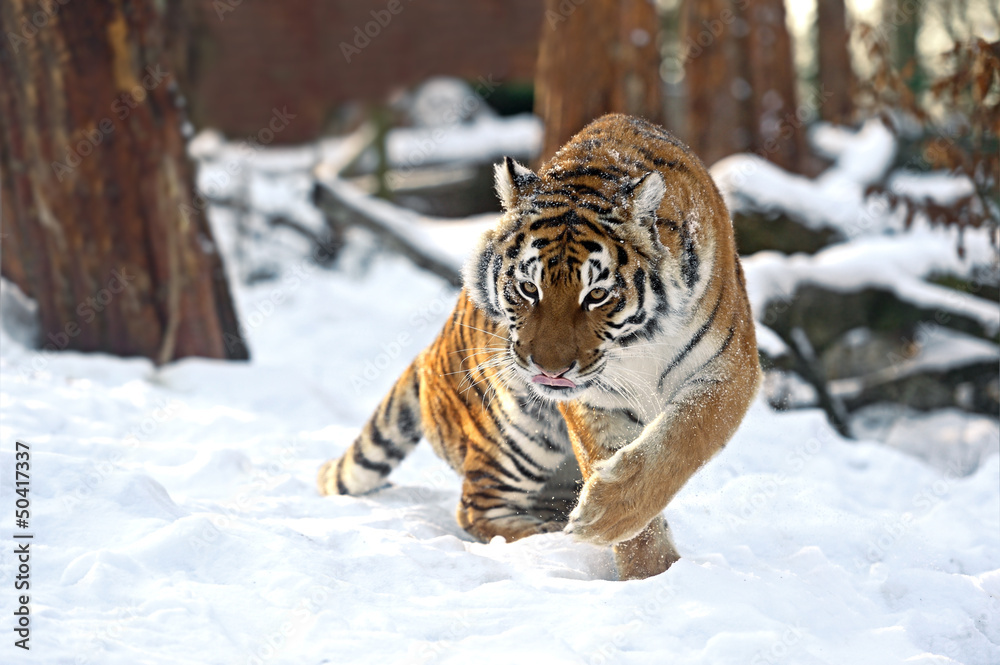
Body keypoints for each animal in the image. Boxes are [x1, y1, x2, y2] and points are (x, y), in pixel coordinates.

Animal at [318, 114, 760, 580]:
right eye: (528, 288)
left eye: (596, 295)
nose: (549, 370)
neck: (639, 341)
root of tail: (428, 354)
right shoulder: (594, 400)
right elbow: (614, 463)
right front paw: (643, 565)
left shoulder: (730, 367)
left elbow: (683, 439)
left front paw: (611, 524)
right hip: (517, 429)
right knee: (475, 507)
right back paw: (547, 540)